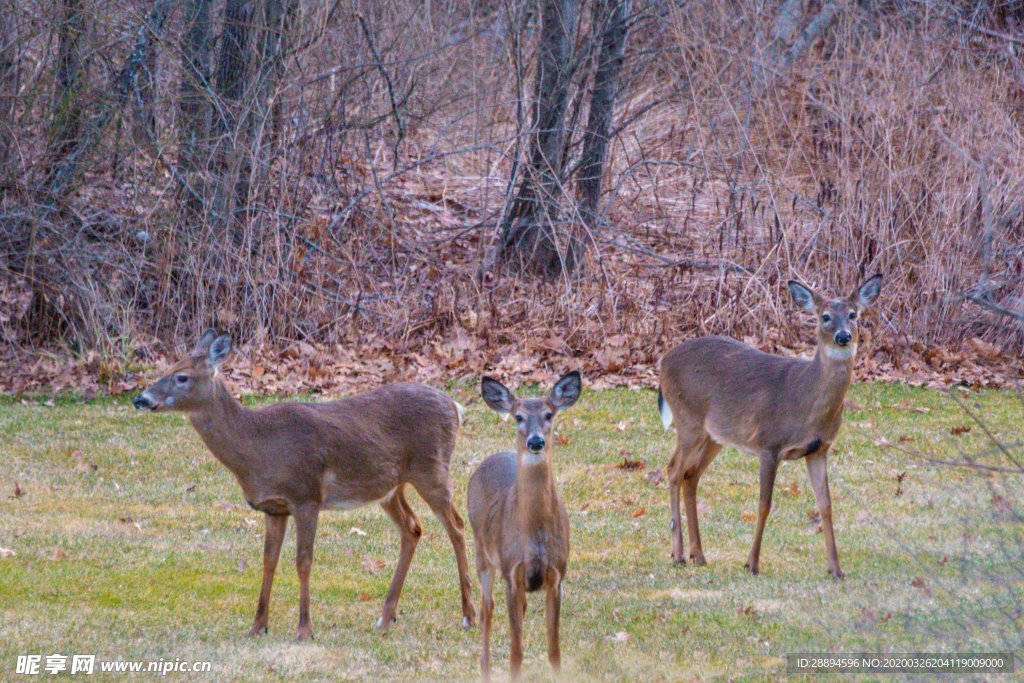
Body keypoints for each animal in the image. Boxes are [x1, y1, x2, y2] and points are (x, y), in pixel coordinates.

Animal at [131, 329, 475, 643]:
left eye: (182, 377)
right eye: (165, 370)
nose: (140, 399)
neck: (258, 448)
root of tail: (455, 407)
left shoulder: (306, 495)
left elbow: (303, 562)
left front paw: (305, 630)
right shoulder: (273, 507)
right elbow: (268, 561)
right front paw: (257, 626)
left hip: (431, 468)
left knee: (457, 525)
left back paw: (469, 616)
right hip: (390, 486)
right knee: (413, 527)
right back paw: (385, 617)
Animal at [466, 370, 581, 679]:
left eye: (549, 414)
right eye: (518, 416)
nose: (536, 442)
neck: (534, 533)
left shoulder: (556, 575)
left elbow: (554, 652)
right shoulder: (511, 573)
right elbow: (516, 653)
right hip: (481, 552)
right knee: (487, 610)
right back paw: (485, 669)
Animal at [659, 274, 884, 581]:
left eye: (853, 315)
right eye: (824, 316)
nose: (843, 337)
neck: (806, 399)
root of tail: (663, 362)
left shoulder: (819, 450)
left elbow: (826, 505)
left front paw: (836, 568)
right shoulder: (769, 443)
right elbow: (764, 505)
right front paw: (751, 564)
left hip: (714, 435)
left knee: (690, 476)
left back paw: (698, 555)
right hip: (688, 419)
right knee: (673, 469)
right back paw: (678, 554)